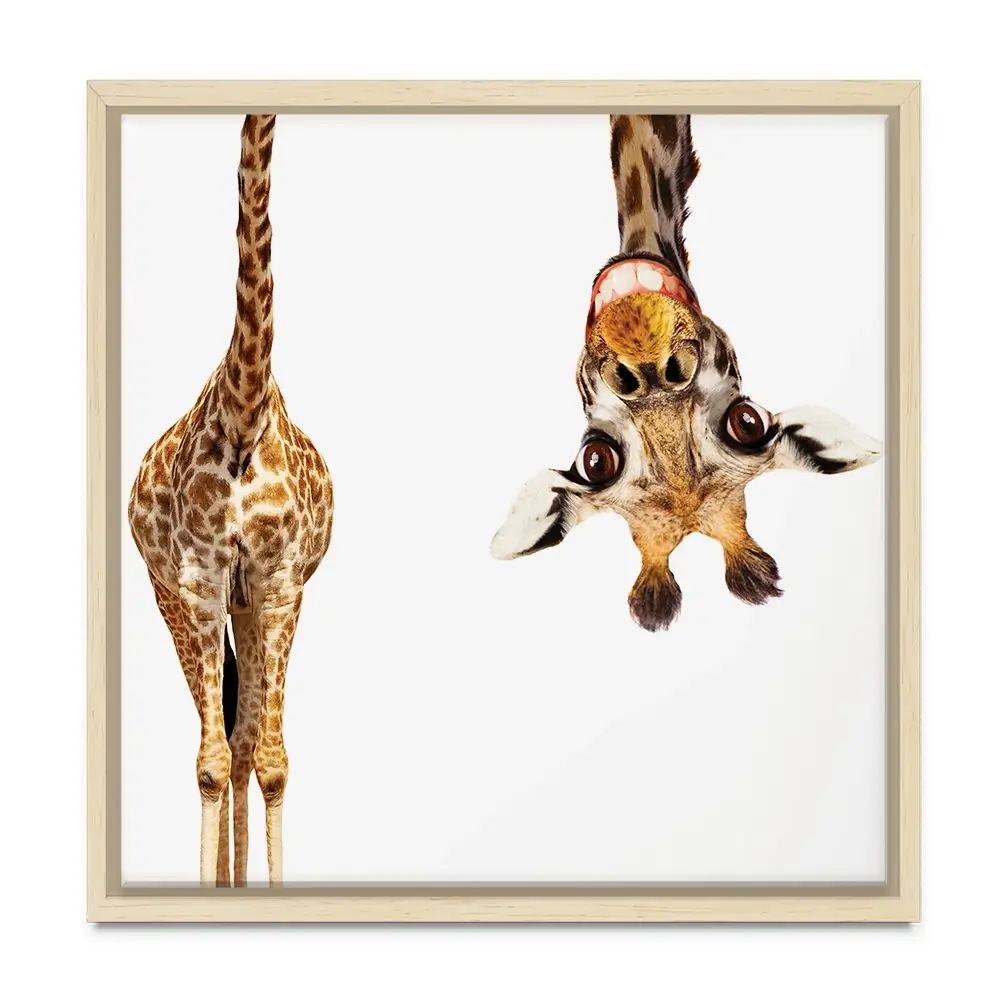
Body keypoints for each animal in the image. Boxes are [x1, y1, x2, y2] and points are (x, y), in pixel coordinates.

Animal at [128, 114, 334, 886]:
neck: (244, 414)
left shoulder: (278, 585)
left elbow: (268, 760)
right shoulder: (199, 582)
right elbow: (210, 763)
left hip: (251, 607)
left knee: (244, 742)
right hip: (173, 598)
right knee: (215, 739)